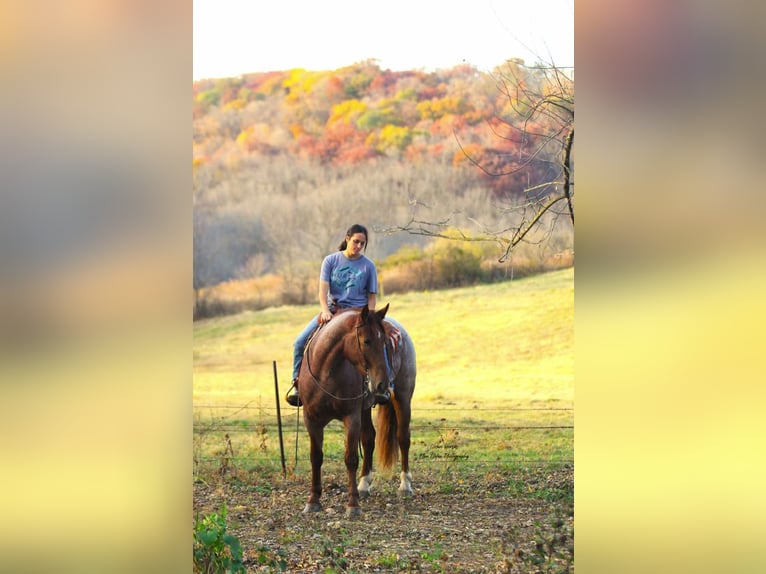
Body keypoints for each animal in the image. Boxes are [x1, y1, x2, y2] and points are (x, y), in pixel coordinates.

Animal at [296, 306, 416, 516]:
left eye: (385, 342)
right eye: (366, 341)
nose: (382, 384)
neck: (326, 373)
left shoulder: (351, 417)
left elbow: (351, 458)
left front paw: (352, 505)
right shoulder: (311, 419)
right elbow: (316, 457)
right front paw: (313, 501)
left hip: (402, 398)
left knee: (403, 438)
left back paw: (405, 486)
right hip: (365, 409)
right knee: (369, 439)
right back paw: (363, 485)